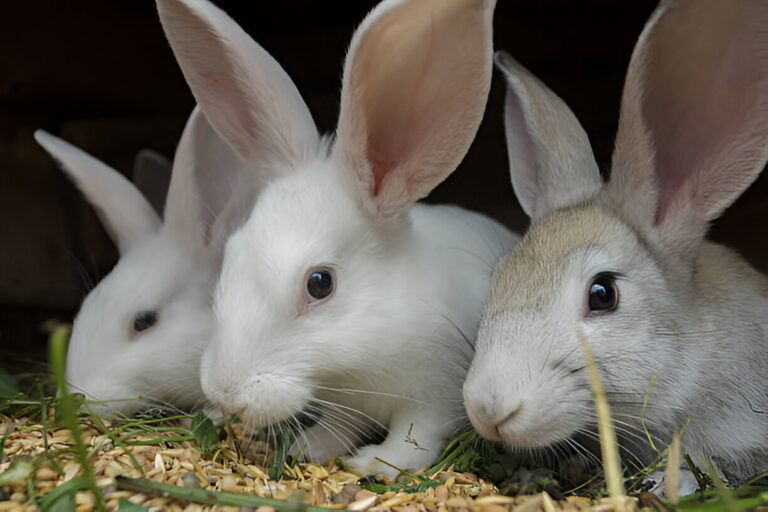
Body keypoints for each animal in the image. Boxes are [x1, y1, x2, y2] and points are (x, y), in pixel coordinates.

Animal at [156, 0, 518, 477]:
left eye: (320, 283)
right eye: (229, 259)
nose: (224, 391)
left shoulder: (435, 396)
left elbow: (416, 437)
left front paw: (376, 464)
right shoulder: (344, 402)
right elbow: (336, 429)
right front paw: (308, 448)